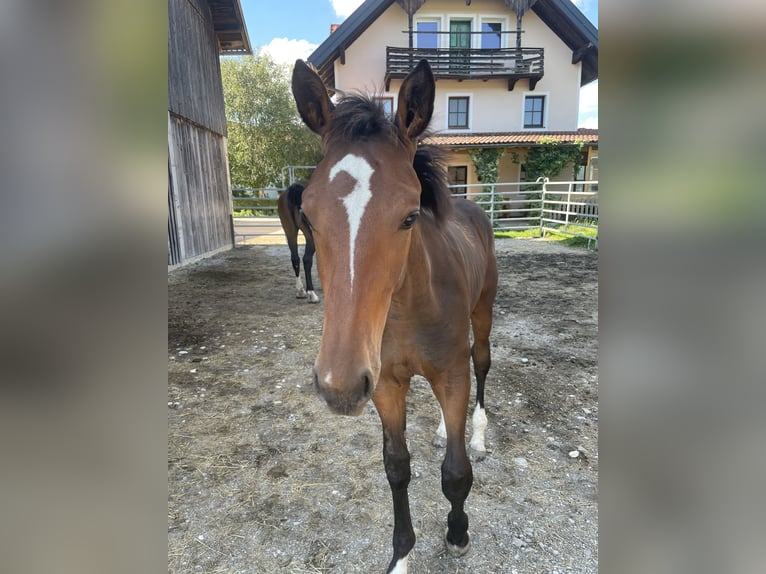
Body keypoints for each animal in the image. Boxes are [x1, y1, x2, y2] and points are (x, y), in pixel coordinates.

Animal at [292, 60, 498, 572]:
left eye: (409, 216)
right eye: (308, 214)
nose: (338, 386)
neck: (407, 311)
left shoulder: (451, 373)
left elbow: (455, 470)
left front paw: (458, 533)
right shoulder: (384, 382)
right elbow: (396, 468)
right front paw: (402, 554)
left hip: (483, 314)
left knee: (482, 364)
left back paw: (478, 435)